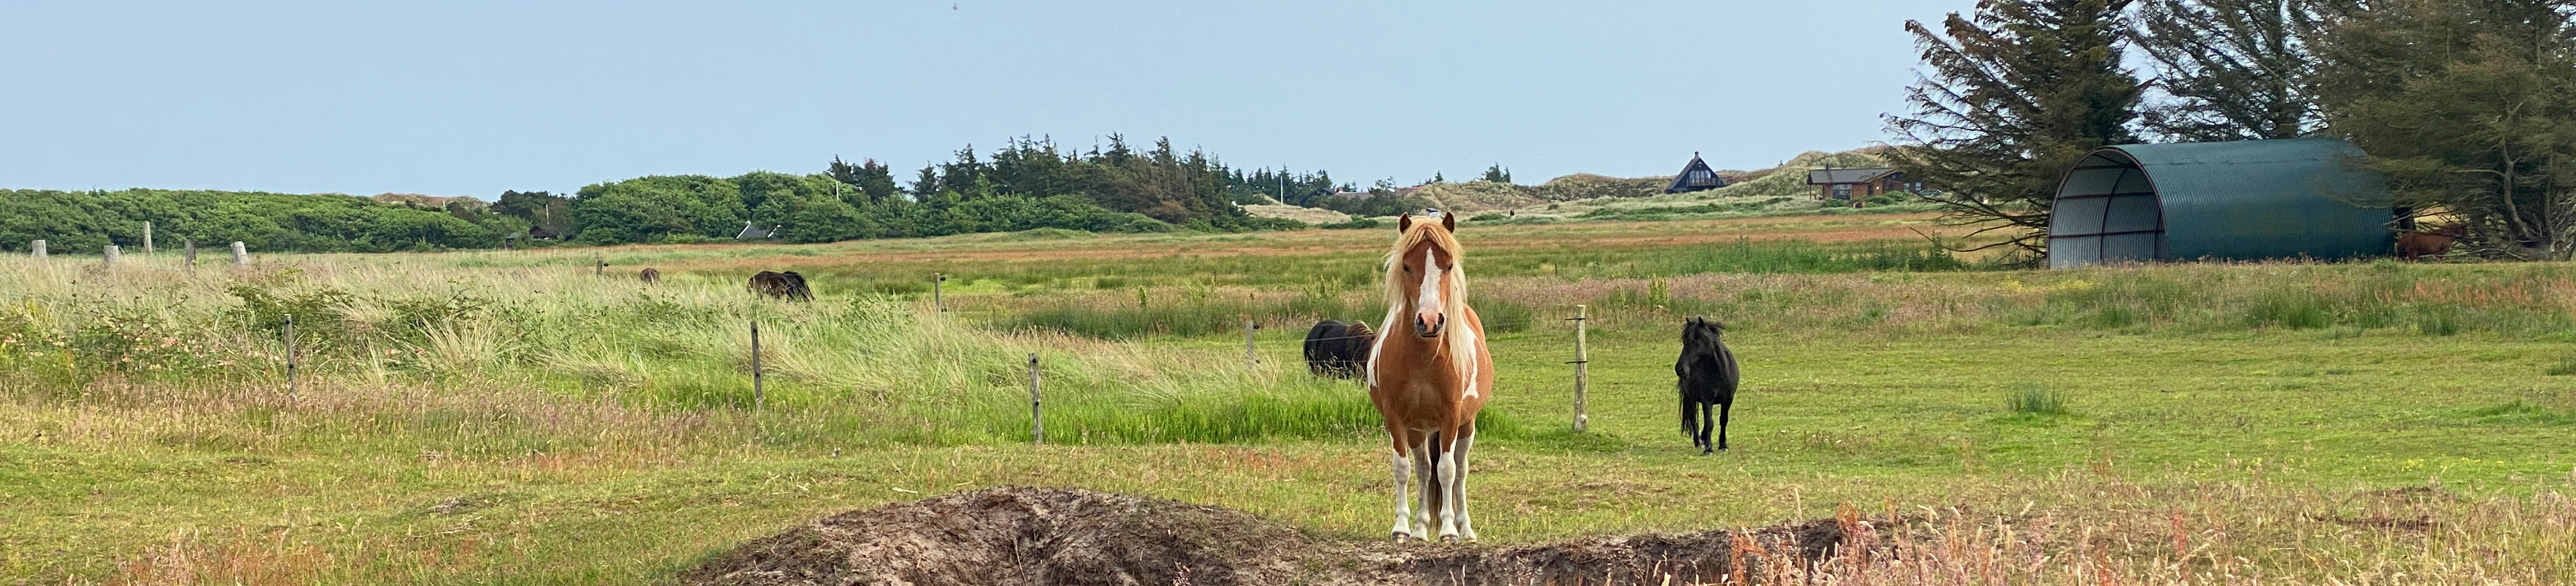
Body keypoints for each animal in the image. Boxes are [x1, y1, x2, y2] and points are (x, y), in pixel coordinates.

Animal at [1360, 211, 1504, 545]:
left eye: (1448, 265)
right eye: (1406, 265)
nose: (1429, 322)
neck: (1423, 360)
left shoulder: (1451, 416)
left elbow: (1448, 470)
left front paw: (1450, 530)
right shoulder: (1396, 418)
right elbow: (1403, 469)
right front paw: (1402, 528)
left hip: (1467, 425)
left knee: (1460, 470)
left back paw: (1465, 529)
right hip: (1418, 429)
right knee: (1425, 469)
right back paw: (1421, 528)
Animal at [1679, 319, 1741, 455]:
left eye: (1695, 342)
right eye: (1684, 341)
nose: (1679, 369)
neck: (1719, 372)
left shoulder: (1728, 399)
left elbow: (1723, 420)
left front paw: (1723, 445)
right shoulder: (1707, 400)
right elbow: (1709, 423)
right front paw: (1709, 448)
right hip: (1690, 398)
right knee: (1693, 419)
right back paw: (1699, 443)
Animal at [2390, 225, 2472, 260]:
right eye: (2467, 232)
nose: (2470, 241)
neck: (2449, 235)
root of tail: (2402, 238)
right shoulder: (2442, 251)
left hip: (2402, 253)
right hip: (2412, 252)